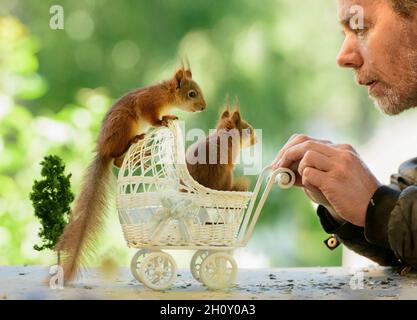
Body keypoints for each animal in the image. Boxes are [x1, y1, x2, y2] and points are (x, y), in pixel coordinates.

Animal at [55, 66, 205, 282]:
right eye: (192, 94)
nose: (203, 107)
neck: (166, 94)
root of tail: (103, 149)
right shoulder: (147, 102)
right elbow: (152, 118)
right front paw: (164, 120)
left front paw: (169, 117)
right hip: (124, 122)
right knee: (116, 155)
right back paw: (134, 142)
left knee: (118, 161)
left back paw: (142, 155)